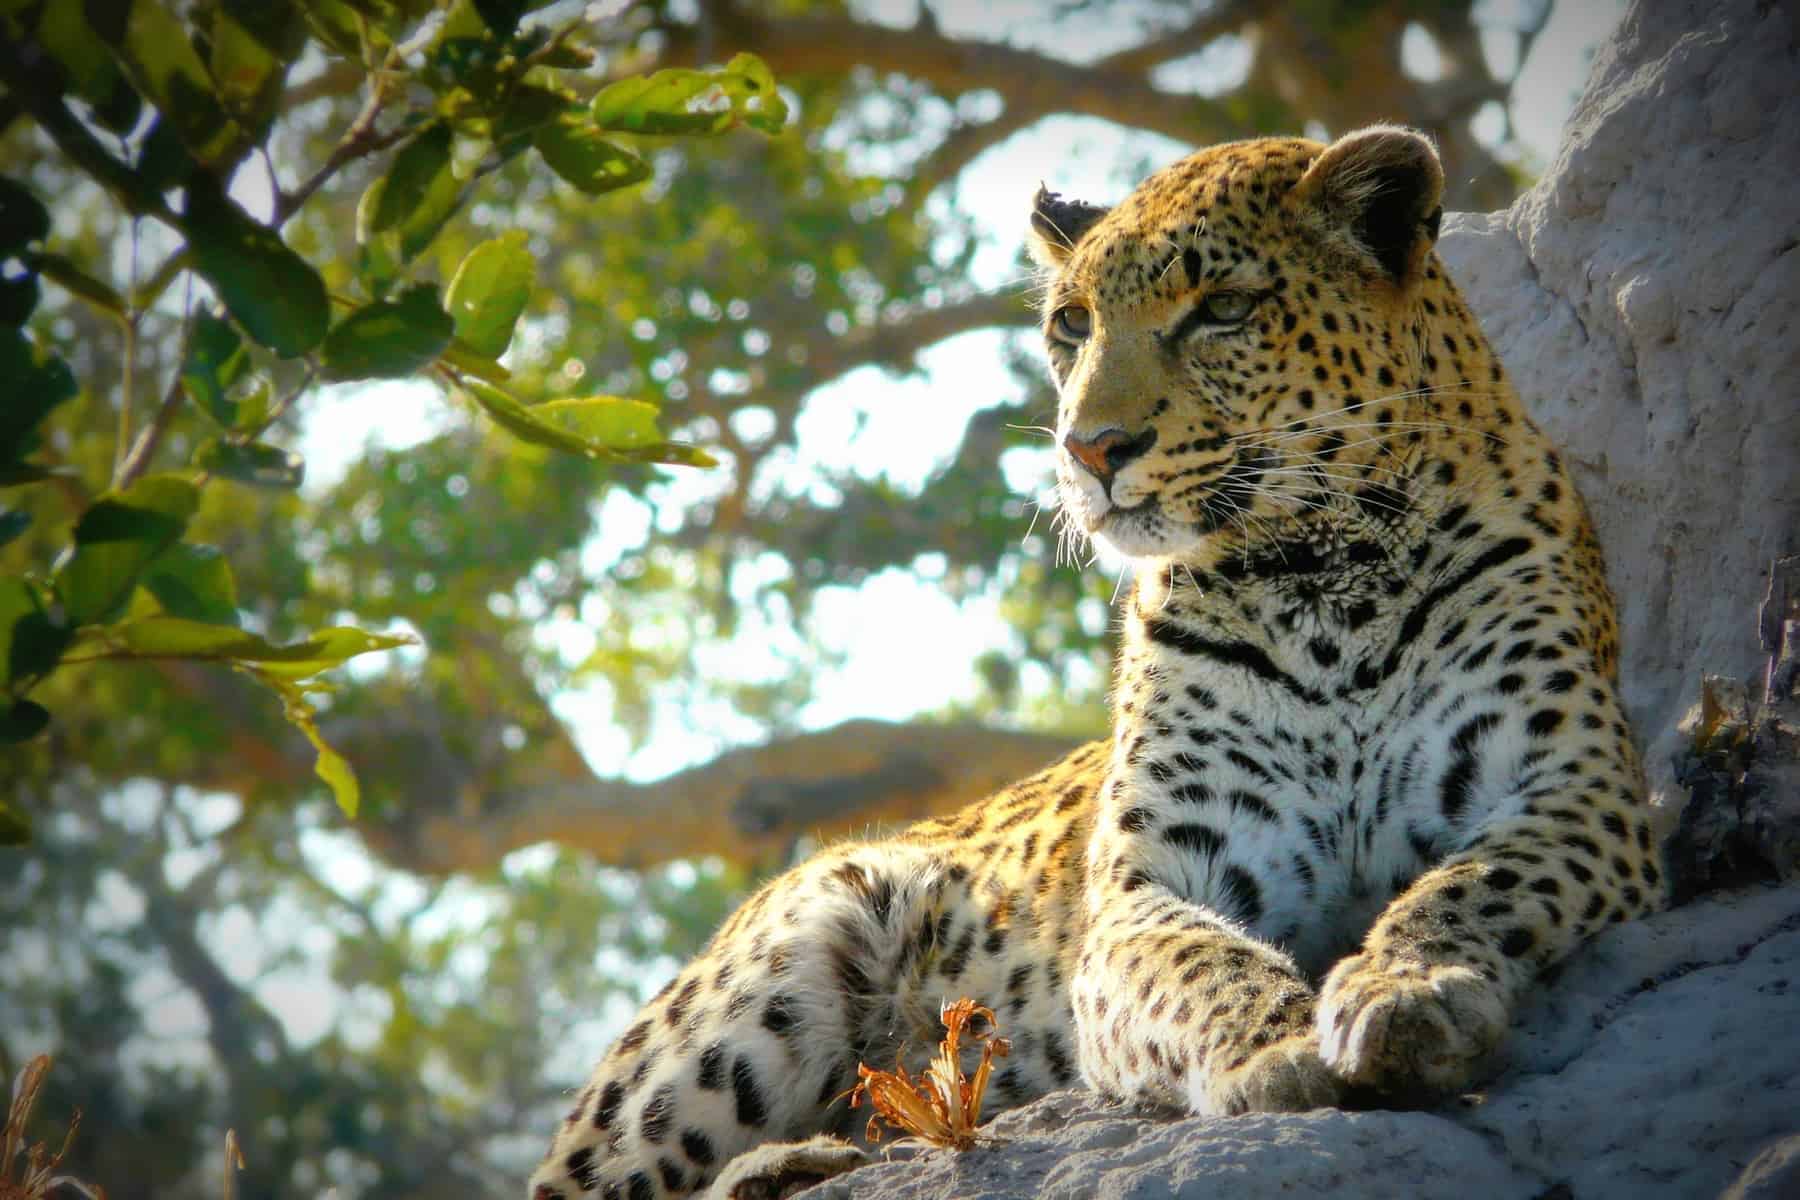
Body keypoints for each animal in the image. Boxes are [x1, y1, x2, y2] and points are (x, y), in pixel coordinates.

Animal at [525, 124, 1663, 1200]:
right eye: (1070, 326)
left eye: (1223, 309)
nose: (1089, 449)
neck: (1323, 578)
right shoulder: (1148, 881)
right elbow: (1197, 961)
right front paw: (1280, 1050)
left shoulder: (1576, 788)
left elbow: (1472, 885)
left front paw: (1408, 990)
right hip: (771, 974)